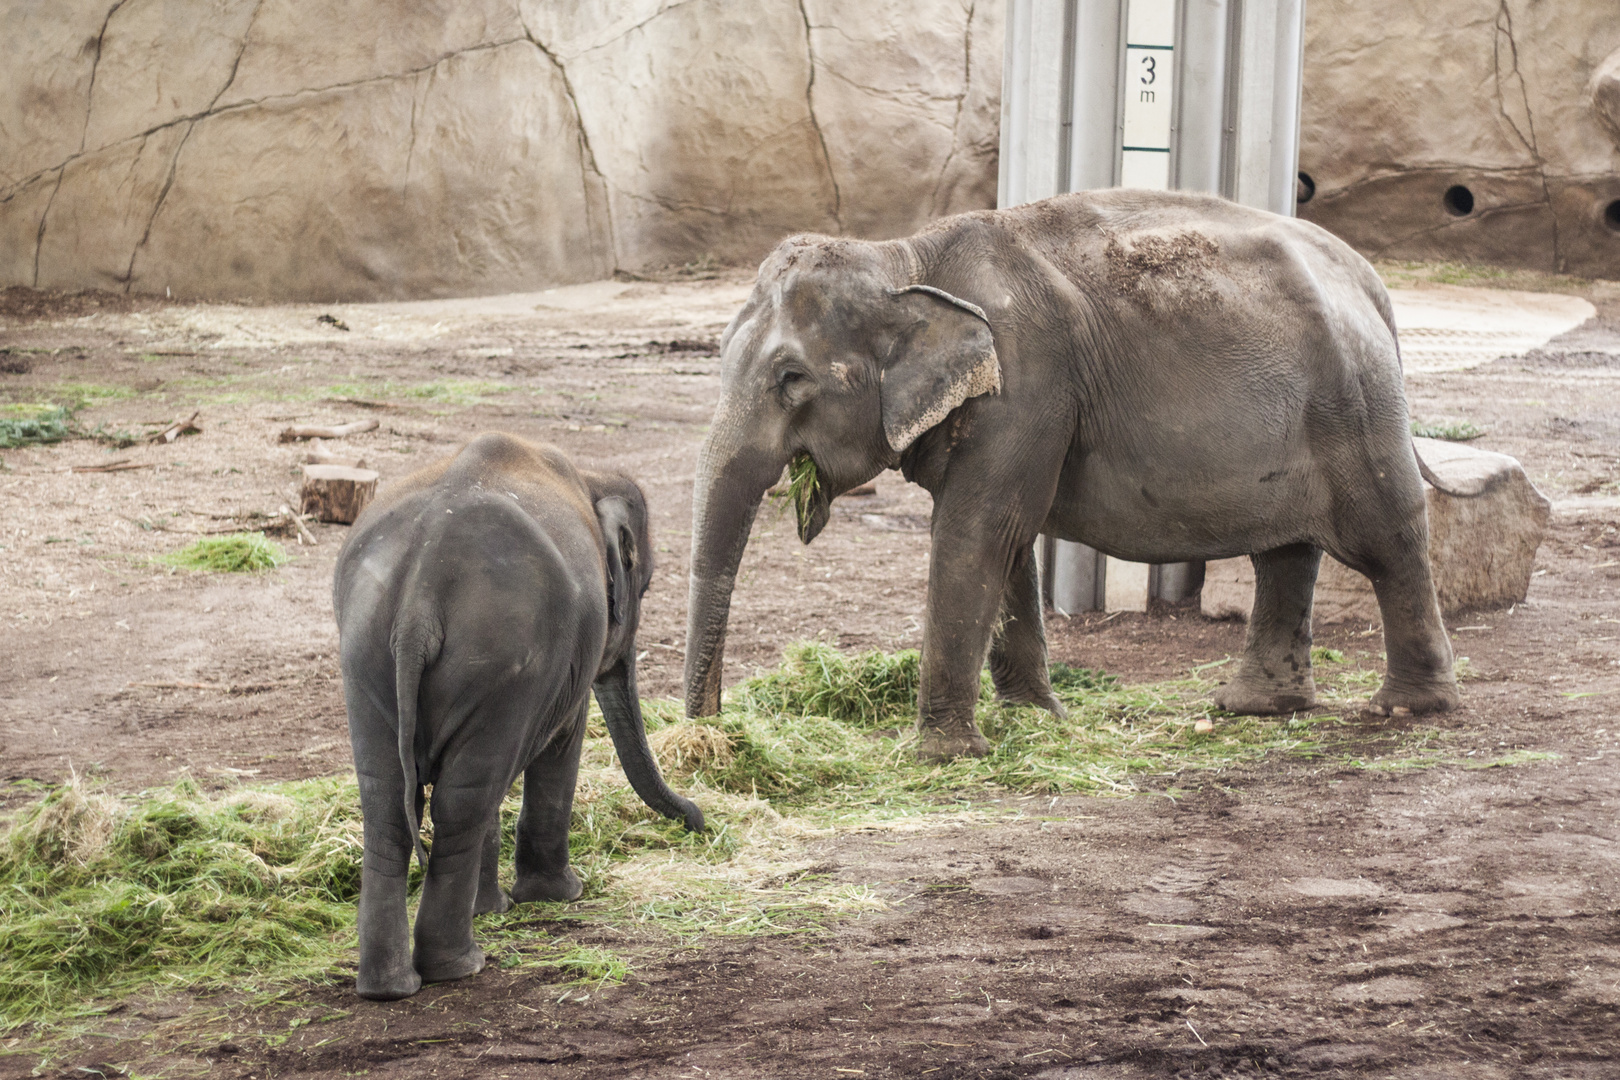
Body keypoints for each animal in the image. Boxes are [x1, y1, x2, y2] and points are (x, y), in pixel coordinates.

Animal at [335, 427, 703, 997]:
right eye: (644, 587)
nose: (699, 821)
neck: (590, 475)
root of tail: (419, 599)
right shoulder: (560, 671)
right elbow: (562, 740)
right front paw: (560, 896)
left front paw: (496, 908)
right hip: (498, 655)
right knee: (461, 803)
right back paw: (460, 967)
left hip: (367, 655)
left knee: (391, 804)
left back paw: (388, 987)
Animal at [677, 187, 1464, 761]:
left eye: (791, 379)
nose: (709, 735)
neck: (904, 258)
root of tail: (1368, 280)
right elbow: (1007, 543)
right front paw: (1038, 718)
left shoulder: (1028, 385)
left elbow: (977, 532)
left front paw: (940, 754)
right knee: (1285, 551)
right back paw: (1254, 708)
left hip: (1356, 404)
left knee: (1386, 538)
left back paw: (1407, 707)